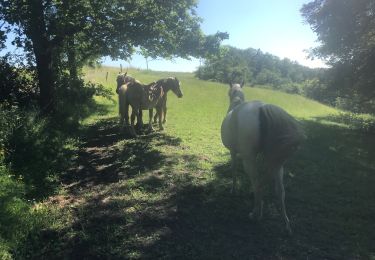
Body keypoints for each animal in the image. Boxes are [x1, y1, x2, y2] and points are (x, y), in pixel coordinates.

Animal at [222, 83, 304, 234]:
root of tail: (262, 108)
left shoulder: (233, 152)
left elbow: (234, 170)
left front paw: (233, 190)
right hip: (278, 164)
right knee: (280, 190)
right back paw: (286, 224)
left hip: (248, 160)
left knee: (257, 183)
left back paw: (256, 214)